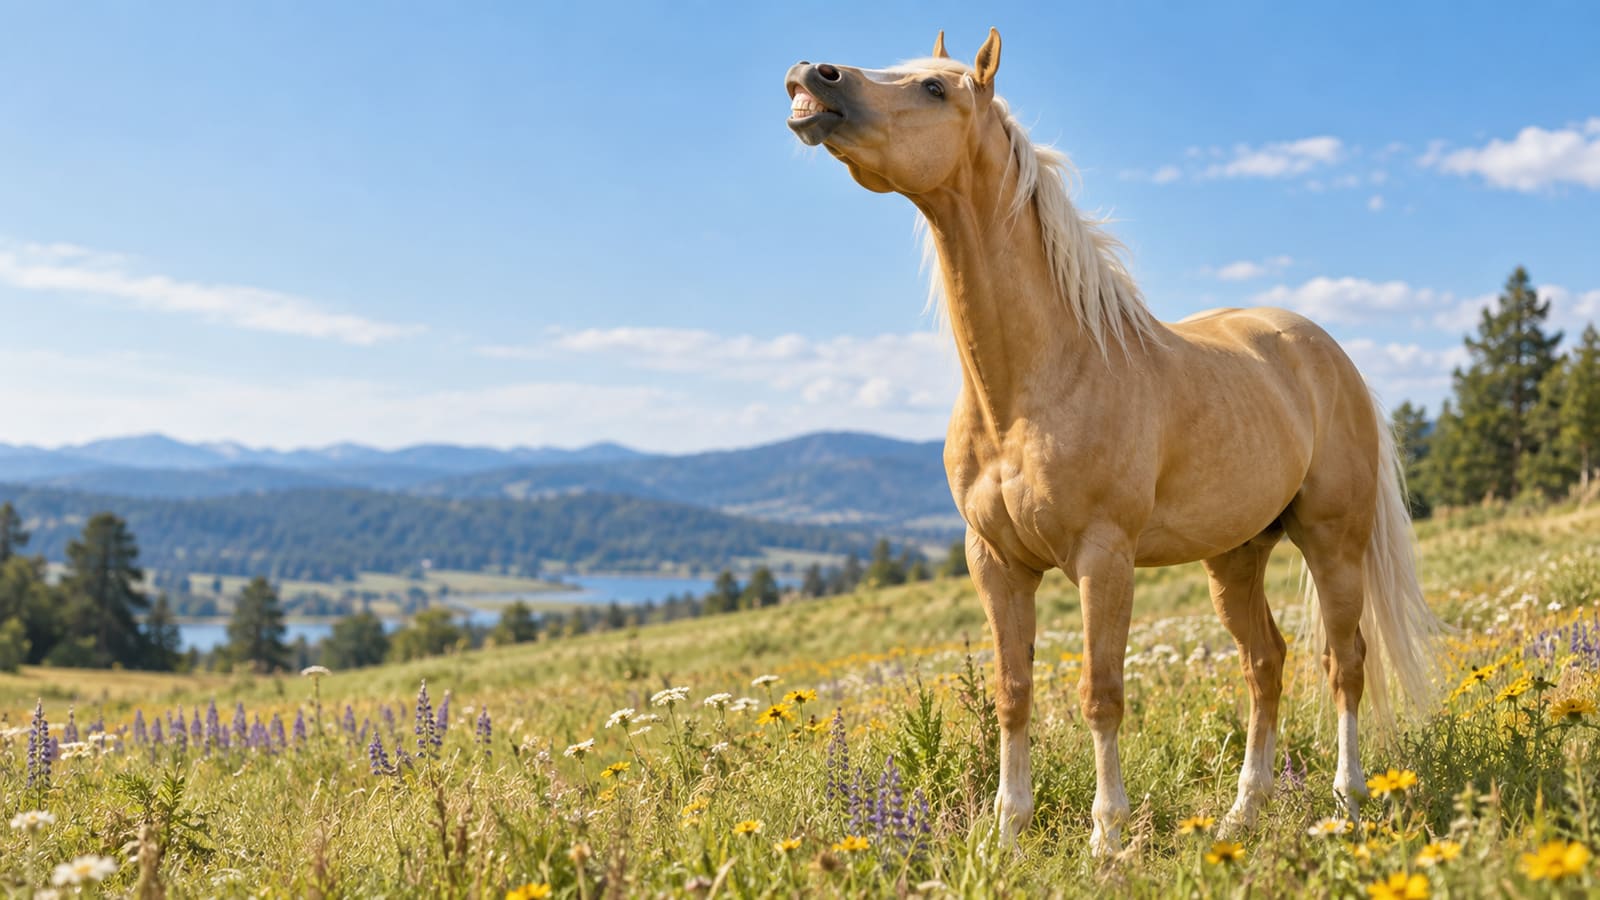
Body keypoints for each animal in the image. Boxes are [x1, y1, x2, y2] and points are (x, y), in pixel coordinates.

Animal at [785, 29, 1439, 855]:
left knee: (1343, 661)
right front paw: (1008, 831)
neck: (1031, 386)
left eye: (935, 88)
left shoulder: (1103, 559)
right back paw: (1243, 811)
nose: (811, 76)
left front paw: (1107, 836)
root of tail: (1326, 352)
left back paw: (1347, 800)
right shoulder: (995, 564)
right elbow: (1013, 693)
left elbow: (1101, 695)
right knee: (1266, 663)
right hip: (1237, 556)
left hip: (1333, 541)